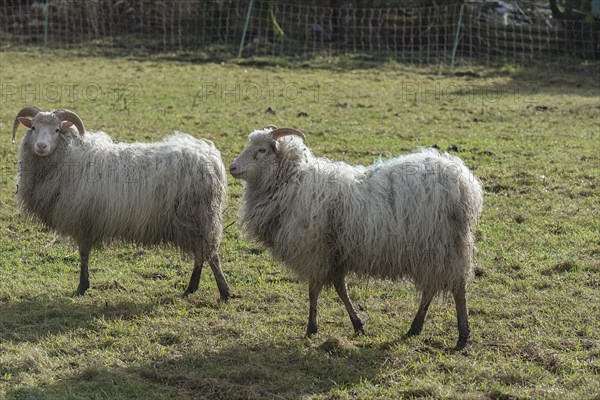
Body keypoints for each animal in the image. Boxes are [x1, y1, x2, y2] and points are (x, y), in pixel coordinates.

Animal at [12, 106, 232, 300]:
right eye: (33, 128)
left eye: (57, 130)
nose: (41, 146)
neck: (68, 155)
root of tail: (210, 159)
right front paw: (84, 285)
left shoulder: (82, 220)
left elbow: (83, 254)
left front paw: (82, 286)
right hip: (196, 220)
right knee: (201, 254)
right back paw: (192, 288)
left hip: (199, 216)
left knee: (211, 255)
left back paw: (224, 292)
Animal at [230, 126, 482, 348]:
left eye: (262, 150)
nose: (232, 167)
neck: (291, 182)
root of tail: (463, 183)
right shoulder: (334, 253)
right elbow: (340, 288)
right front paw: (357, 324)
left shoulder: (315, 250)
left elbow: (313, 290)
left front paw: (311, 327)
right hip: (435, 249)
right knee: (432, 287)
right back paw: (415, 327)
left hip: (441, 245)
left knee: (457, 288)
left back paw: (462, 335)